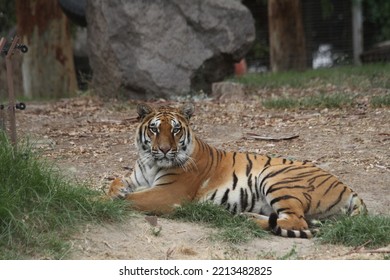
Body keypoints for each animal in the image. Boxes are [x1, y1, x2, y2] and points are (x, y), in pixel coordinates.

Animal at [108, 103, 368, 238]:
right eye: (153, 129)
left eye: (175, 130)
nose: (163, 150)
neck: (151, 163)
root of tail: (350, 188)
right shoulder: (137, 178)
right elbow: (116, 182)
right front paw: (114, 192)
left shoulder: (166, 194)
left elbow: (133, 199)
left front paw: (104, 201)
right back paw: (246, 216)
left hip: (275, 177)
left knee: (298, 222)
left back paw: (247, 220)